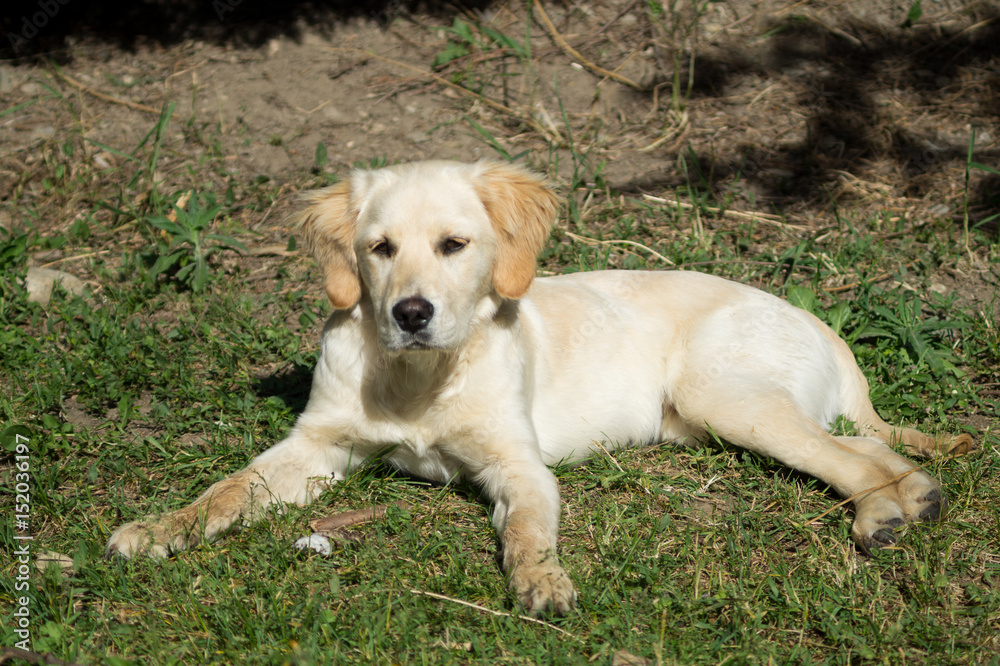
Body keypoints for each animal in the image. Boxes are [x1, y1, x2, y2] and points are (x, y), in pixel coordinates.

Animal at [107, 160, 968, 612]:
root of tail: (818, 322)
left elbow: (525, 531)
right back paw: (911, 502)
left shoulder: (519, 465)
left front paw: (542, 581)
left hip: (727, 398)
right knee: (870, 447)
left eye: (454, 246)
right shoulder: (312, 448)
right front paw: (156, 529)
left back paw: (885, 516)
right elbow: (223, 490)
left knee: (853, 457)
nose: (410, 313)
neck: (418, 377)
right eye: (379, 249)